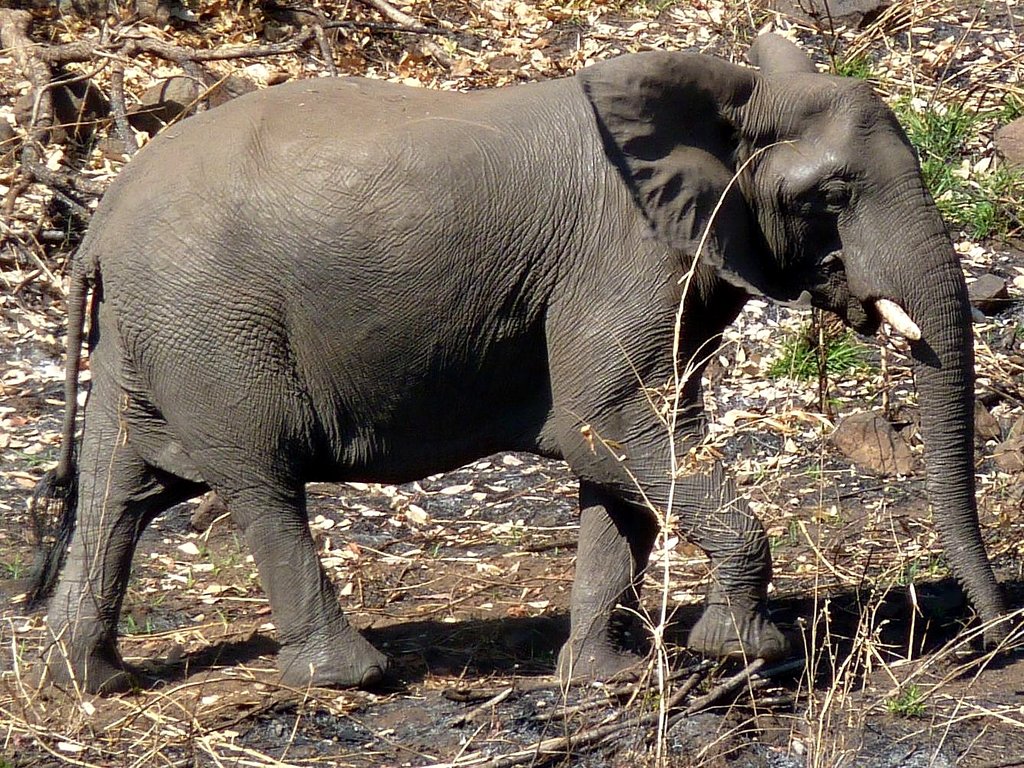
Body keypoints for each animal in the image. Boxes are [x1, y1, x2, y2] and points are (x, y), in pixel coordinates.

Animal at [25, 33, 1007, 695]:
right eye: (832, 193)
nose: (998, 641)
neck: (732, 88)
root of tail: (98, 224)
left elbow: (620, 457)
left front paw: (604, 678)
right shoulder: (620, 259)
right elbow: (610, 425)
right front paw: (739, 651)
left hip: (151, 332)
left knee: (121, 486)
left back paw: (87, 680)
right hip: (214, 325)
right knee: (260, 480)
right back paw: (351, 678)